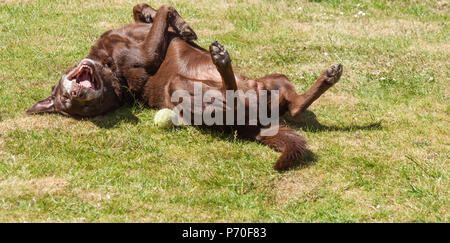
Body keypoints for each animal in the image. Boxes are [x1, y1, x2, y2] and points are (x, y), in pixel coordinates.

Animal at [26, 3, 342, 171]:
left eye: (66, 99)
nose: (77, 93)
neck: (112, 72)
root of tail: (254, 125)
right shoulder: (147, 53)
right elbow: (165, 9)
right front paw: (181, 24)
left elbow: (142, 9)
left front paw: (165, 19)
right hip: (180, 86)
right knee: (234, 98)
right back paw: (221, 59)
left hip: (274, 79)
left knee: (296, 106)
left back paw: (329, 76)